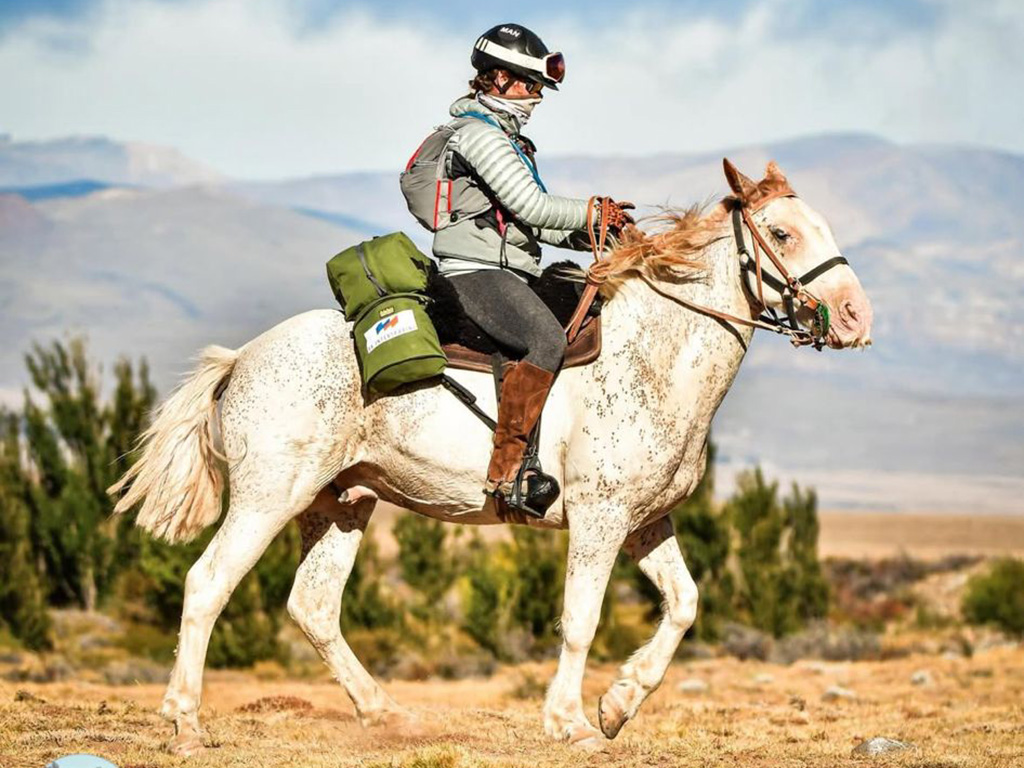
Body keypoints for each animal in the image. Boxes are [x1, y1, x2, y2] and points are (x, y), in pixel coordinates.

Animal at [109, 159, 873, 754]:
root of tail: (242, 358)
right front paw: (571, 723)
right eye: (782, 233)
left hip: (343, 503)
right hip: (269, 498)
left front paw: (618, 705)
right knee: (208, 585)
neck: (657, 355)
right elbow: (580, 620)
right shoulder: (599, 521)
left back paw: (386, 714)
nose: (858, 318)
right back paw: (185, 725)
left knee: (314, 606)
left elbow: (684, 605)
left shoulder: (646, 522)